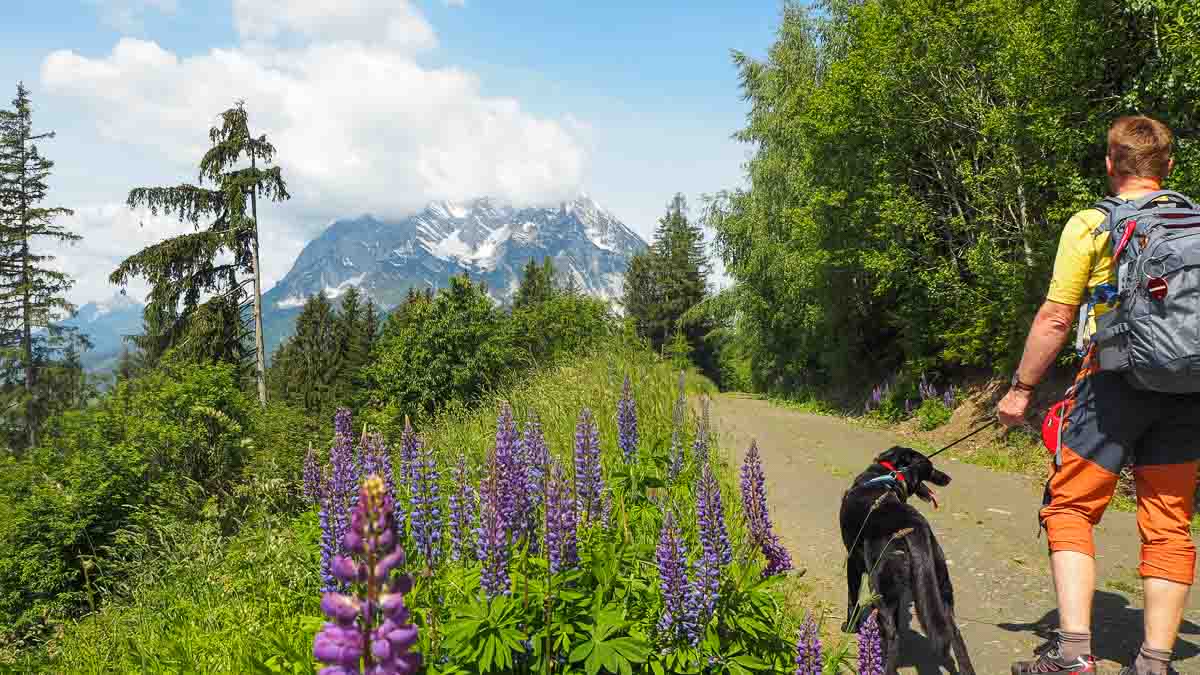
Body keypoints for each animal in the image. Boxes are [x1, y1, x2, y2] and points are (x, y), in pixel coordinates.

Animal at [844, 446, 974, 672]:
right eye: (930, 467)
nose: (947, 478)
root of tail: (914, 525)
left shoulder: (852, 561)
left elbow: (852, 599)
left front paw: (850, 626)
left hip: (879, 586)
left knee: (892, 636)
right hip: (941, 588)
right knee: (955, 633)